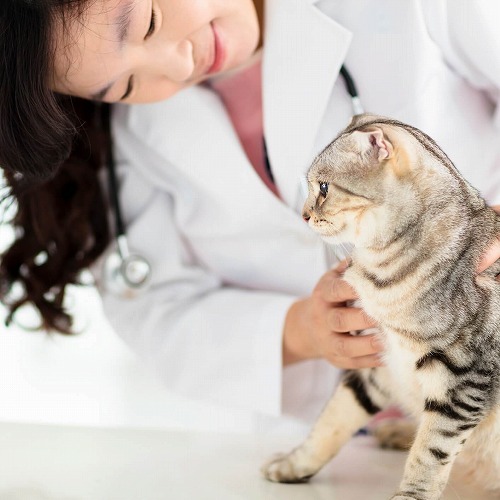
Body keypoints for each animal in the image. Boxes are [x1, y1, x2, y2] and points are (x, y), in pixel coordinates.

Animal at [262, 114, 500, 500]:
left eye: (323, 187)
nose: (304, 215)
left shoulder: (463, 380)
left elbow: (431, 451)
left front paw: (411, 495)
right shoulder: (379, 361)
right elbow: (332, 420)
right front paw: (294, 463)